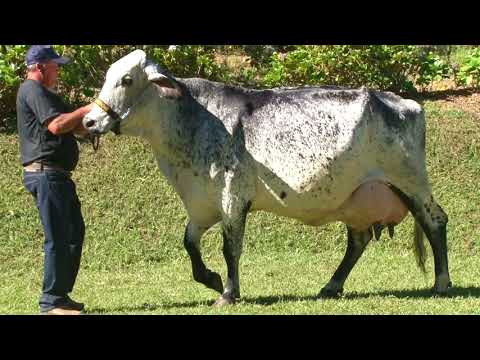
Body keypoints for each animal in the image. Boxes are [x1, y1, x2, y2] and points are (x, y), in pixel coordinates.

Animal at [84, 49, 452, 306]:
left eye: (126, 80)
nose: (89, 121)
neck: (192, 120)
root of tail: (404, 102)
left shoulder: (233, 198)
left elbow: (230, 247)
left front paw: (228, 293)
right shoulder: (201, 204)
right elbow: (190, 244)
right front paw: (212, 279)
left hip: (410, 181)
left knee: (435, 222)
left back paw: (442, 283)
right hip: (357, 198)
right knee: (358, 241)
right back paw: (330, 286)